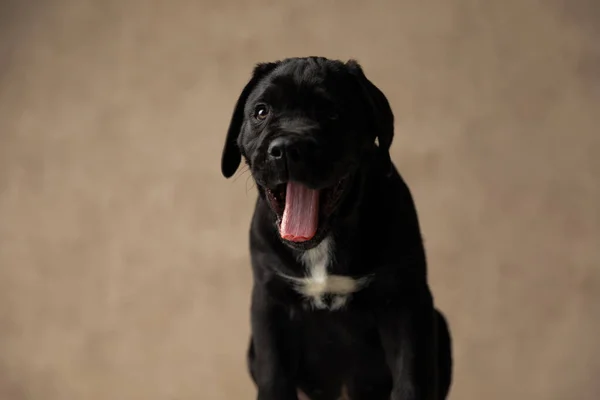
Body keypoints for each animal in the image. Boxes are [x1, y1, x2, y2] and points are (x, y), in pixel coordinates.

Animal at [223, 57, 452, 400]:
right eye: (261, 112)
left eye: (332, 113)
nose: (287, 147)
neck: (323, 244)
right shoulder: (270, 304)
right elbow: (274, 378)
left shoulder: (405, 304)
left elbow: (410, 379)